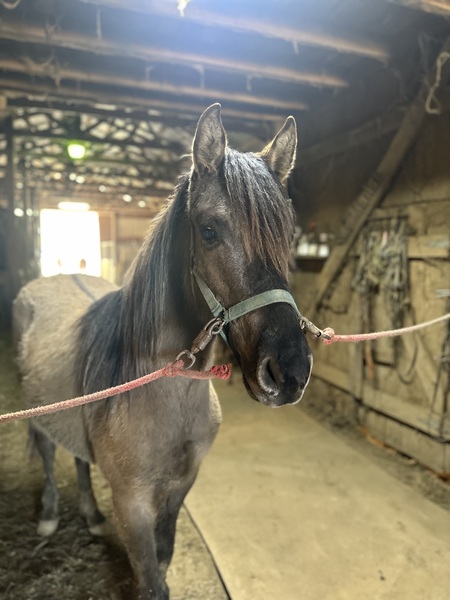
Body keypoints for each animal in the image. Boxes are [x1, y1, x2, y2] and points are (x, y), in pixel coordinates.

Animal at [12, 104, 312, 600]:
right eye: (208, 231)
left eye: (289, 235)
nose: (289, 373)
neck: (162, 389)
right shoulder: (132, 503)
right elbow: (150, 580)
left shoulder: (181, 487)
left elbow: (165, 556)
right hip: (38, 413)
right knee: (48, 453)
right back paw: (50, 516)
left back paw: (92, 517)